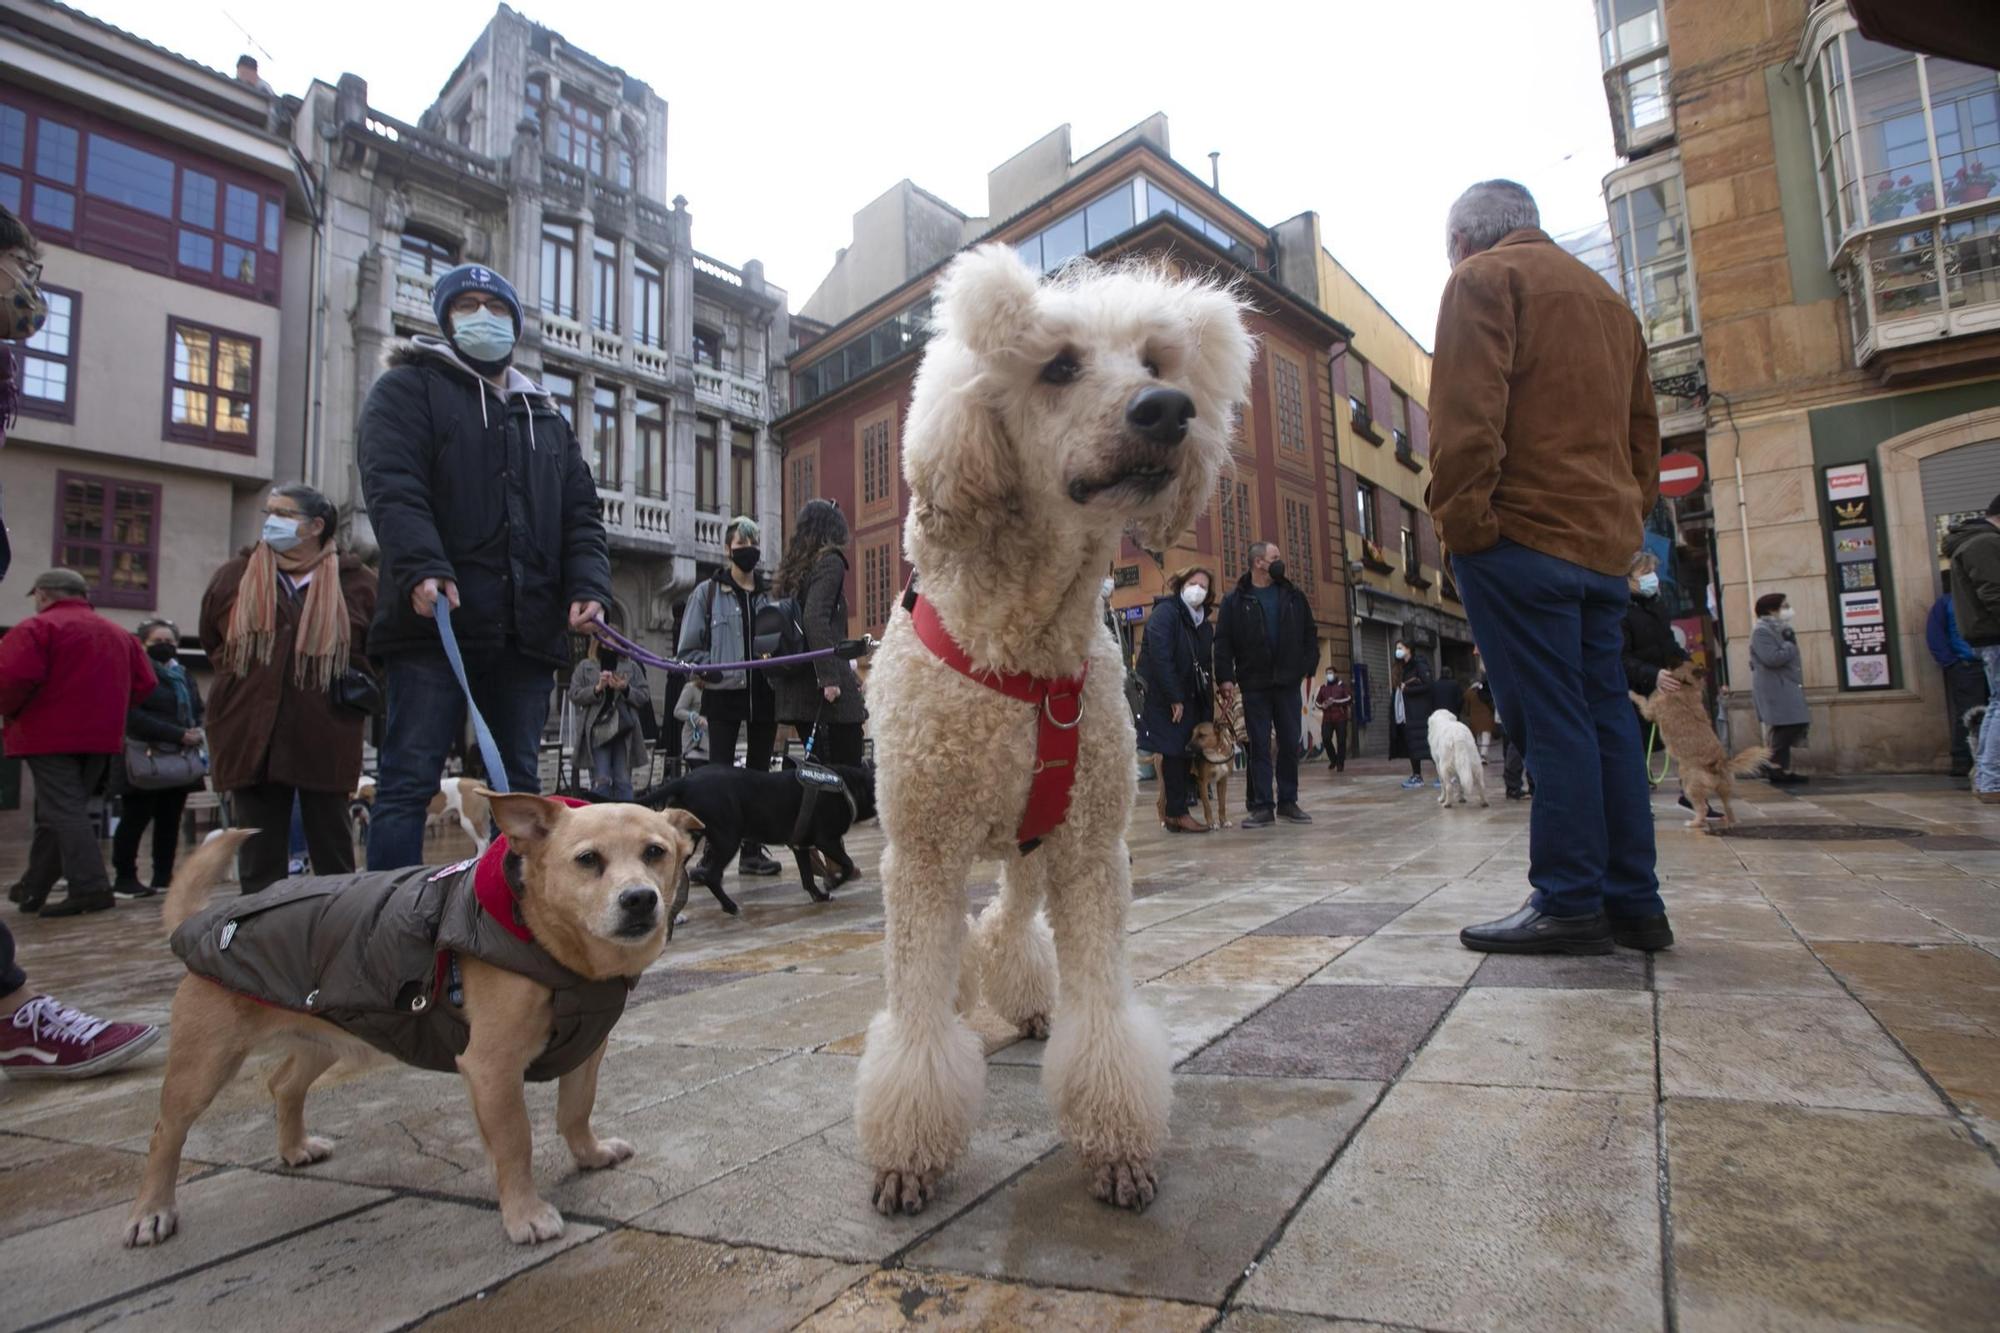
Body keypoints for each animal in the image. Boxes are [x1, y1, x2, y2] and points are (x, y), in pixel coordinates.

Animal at [127, 784, 704, 1240]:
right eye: (588, 861)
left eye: (655, 852)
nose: (639, 899)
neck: (553, 948)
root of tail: (204, 921)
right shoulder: (491, 1069)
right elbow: (515, 1143)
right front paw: (526, 1214)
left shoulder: (587, 1049)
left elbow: (576, 1110)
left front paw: (589, 1155)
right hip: (205, 1063)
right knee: (164, 1132)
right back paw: (152, 1211)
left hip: (329, 1034)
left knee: (283, 1084)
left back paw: (293, 1149)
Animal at [628, 756, 872, 912]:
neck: (850, 784)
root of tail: (686, 780)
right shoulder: (826, 840)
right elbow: (847, 864)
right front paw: (832, 884)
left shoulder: (800, 845)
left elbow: (807, 878)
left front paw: (819, 895)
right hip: (728, 838)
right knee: (711, 875)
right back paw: (730, 907)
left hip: (687, 839)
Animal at [856, 246, 1248, 1216]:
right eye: (1059, 366)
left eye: (1155, 360)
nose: (1167, 410)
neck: (1022, 647)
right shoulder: (921, 851)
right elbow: (917, 1008)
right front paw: (908, 1157)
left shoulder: (1090, 849)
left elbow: (1101, 1012)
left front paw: (1118, 1147)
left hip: (1032, 840)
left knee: (1007, 920)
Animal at [1640, 660, 1768, 824]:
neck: (1685, 683)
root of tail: (1718, 764)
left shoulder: (1648, 710)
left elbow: (1639, 699)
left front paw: (1630, 693)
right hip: (1725, 790)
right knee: (1729, 808)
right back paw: (1729, 820)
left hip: (1689, 784)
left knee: (1702, 808)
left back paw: (1694, 823)